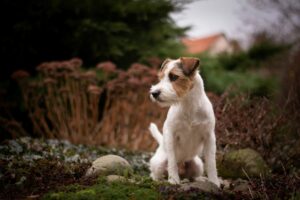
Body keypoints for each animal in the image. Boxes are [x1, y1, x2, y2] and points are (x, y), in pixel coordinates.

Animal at [149, 57, 219, 187]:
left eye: (174, 77)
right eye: (160, 77)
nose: (154, 93)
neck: (188, 104)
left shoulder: (209, 137)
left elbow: (211, 162)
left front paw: (214, 182)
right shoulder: (171, 135)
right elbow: (172, 160)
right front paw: (173, 180)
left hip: (198, 165)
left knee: (192, 176)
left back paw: (200, 179)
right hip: (159, 163)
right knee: (155, 173)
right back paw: (159, 179)